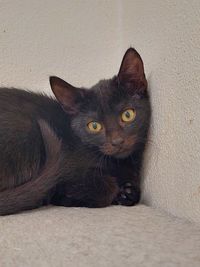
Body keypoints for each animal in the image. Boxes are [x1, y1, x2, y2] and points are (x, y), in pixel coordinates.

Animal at [0, 48, 151, 216]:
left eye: (127, 115)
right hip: (25, 129)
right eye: (94, 126)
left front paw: (127, 192)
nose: (117, 141)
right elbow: (106, 186)